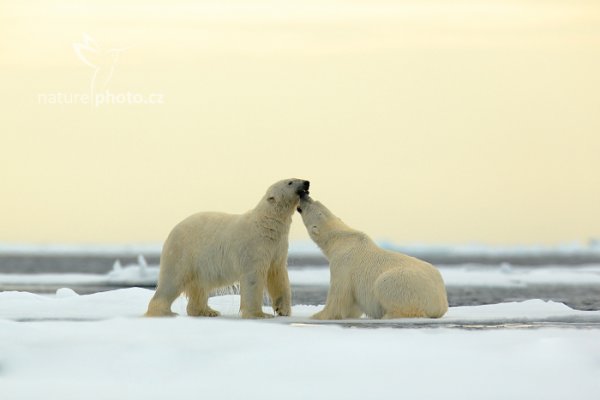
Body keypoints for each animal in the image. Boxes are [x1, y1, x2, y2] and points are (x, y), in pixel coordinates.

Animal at [146, 178, 312, 318]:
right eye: (290, 182)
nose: (306, 182)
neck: (266, 224)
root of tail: (171, 232)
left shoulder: (278, 246)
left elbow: (278, 273)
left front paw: (283, 310)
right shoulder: (255, 246)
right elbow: (254, 277)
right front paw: (259, 314)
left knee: (199, 286)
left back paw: (208, 311)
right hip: (183, 252)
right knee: (172, 280)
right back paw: (164, 312)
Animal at [298, 197, 448, 318]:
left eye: (310, 204)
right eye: (314, 200)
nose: (304, 195)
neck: (341, 239)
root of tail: (441, 304)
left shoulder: (342, 264)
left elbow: (339, 295)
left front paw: (317, 315)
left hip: (405, 284)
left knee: (385, 284)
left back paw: (389, 315)